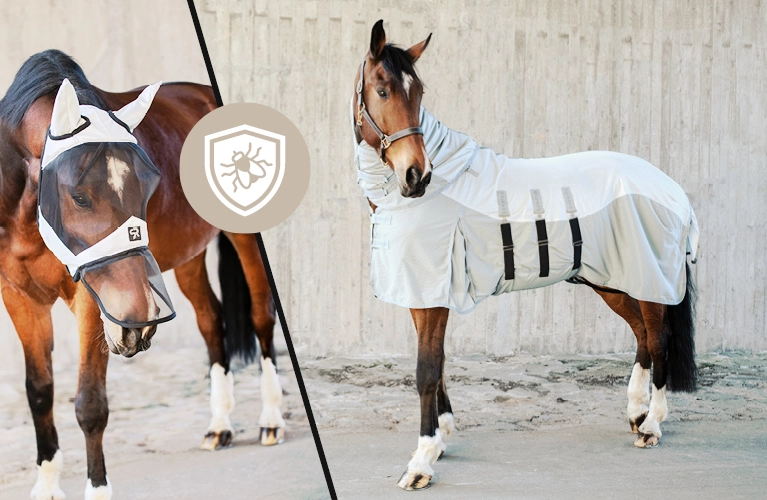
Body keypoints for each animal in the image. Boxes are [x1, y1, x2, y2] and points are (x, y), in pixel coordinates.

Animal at [0, 50, 285, 500]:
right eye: (78, 196)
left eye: (149, 185)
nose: (140, 320)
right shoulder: (18, 296)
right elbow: (40, 393)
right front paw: (46, 486)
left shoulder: (91, 300)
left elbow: (90, 403)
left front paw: (97, 490)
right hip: (186, 256)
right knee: (211, 320)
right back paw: (219, 425)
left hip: (244, 240)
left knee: (260, 316)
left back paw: (271, 418)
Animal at [352, 21, 699, 491]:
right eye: (383, 90)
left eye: (419, 92)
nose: (416, 175)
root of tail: (669, 186)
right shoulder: (423, 294)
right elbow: (437, 365)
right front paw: (440, 438)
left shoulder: (432, 297)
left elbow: (426, 370)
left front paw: (421, 462)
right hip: (613, 280)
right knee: (643, 336)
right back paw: (636, 413)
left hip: (648, 279)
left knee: (658, 340)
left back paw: (653, 425)